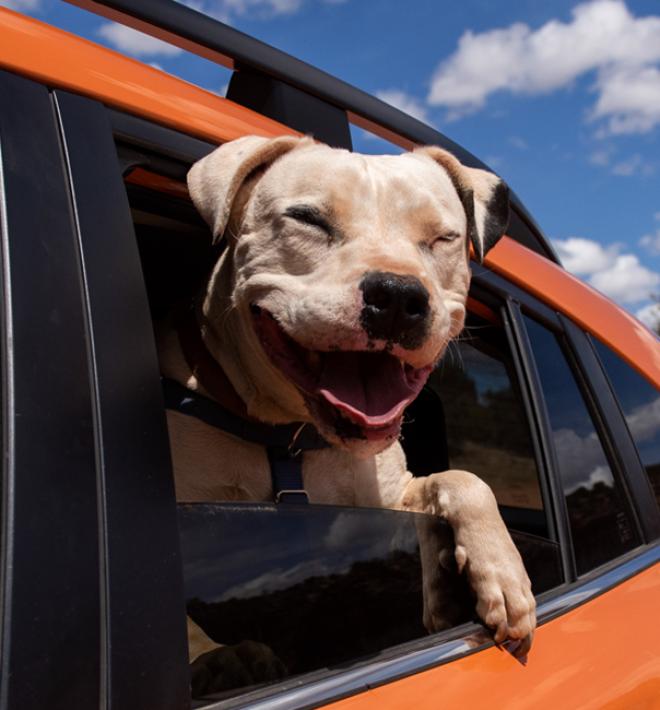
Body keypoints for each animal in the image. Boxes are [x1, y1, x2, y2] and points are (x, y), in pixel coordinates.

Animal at [159, 134, 536, 696]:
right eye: (308, 219)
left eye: (443, 237)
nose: (398, 295)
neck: (289, 439)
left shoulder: (392, 493)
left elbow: (462, 480)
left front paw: (499, 572)